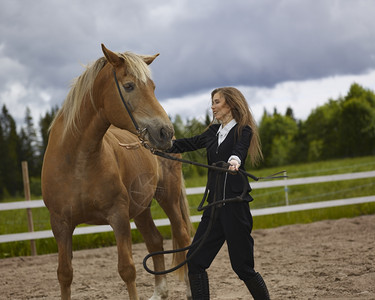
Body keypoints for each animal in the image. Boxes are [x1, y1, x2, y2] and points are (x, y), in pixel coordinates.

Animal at [41, 44, 194, 300]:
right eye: (129, 86)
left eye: (153, 87)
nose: (165, 132)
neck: (78, 163)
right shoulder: (60, 224)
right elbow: (64, 274)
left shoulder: (119, 216)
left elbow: (127, 269)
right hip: (142, 208)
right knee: (154, 241)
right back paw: (159, 292)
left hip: (168, 198)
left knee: (182, 237)